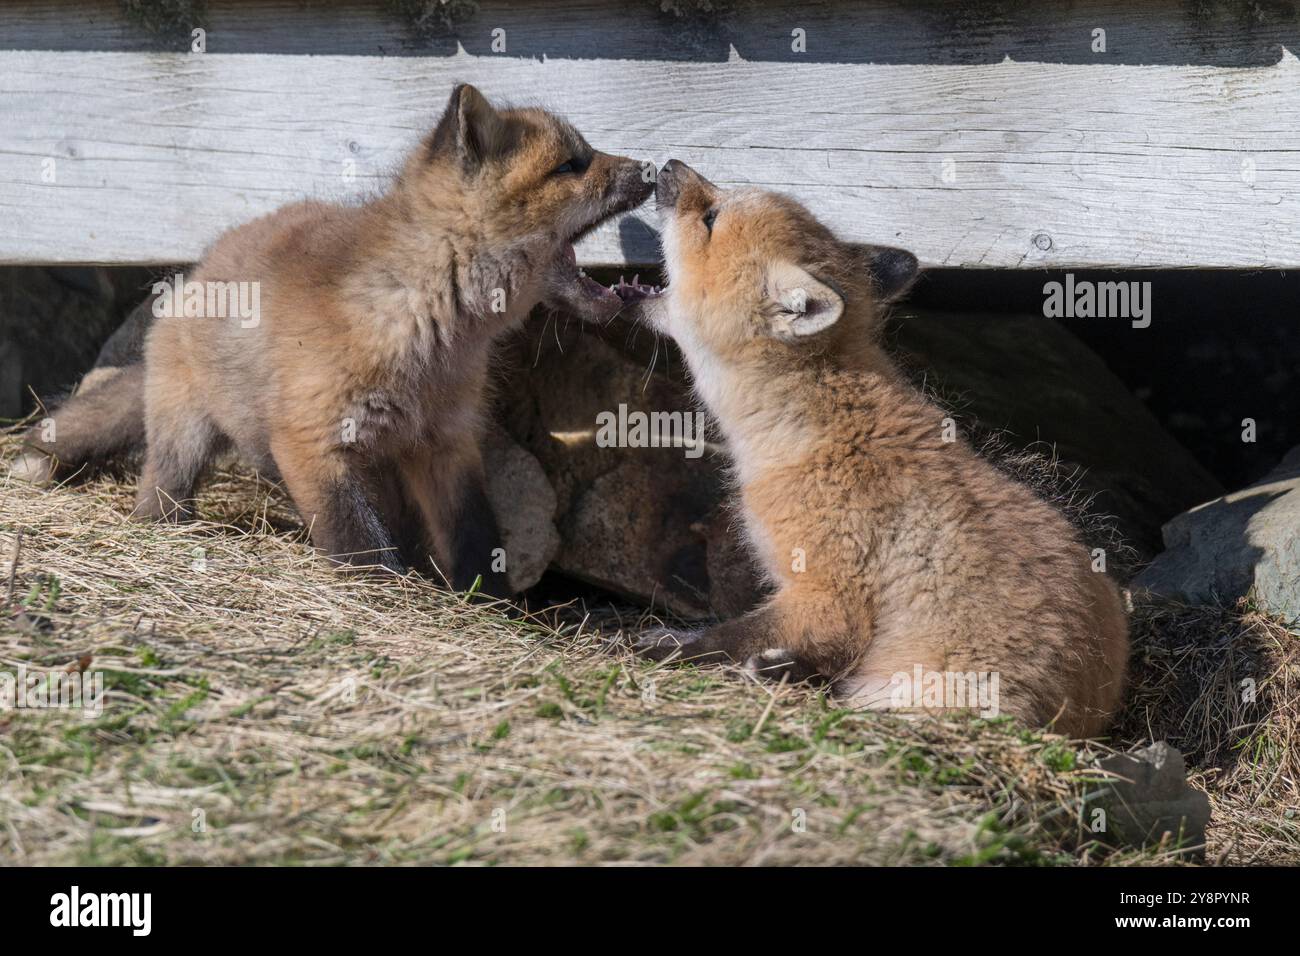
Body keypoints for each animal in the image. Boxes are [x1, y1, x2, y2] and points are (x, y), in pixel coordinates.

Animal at [13, 85, 651, 595]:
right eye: (571, 165)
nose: (651, 166)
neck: (426, 330)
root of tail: (191, 275)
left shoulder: (445, 443)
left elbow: (475, 536)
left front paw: (492, 606)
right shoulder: (310, 442)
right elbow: (359, 543)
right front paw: (391, 597)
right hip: (186, 441)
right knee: (160, 490)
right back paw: (161, 526)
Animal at [617, 160, 1128, 737]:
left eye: (710, 217)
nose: (666, 166)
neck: (812, 429)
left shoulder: (827, 593)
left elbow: (723, 636)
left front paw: (662, 647)